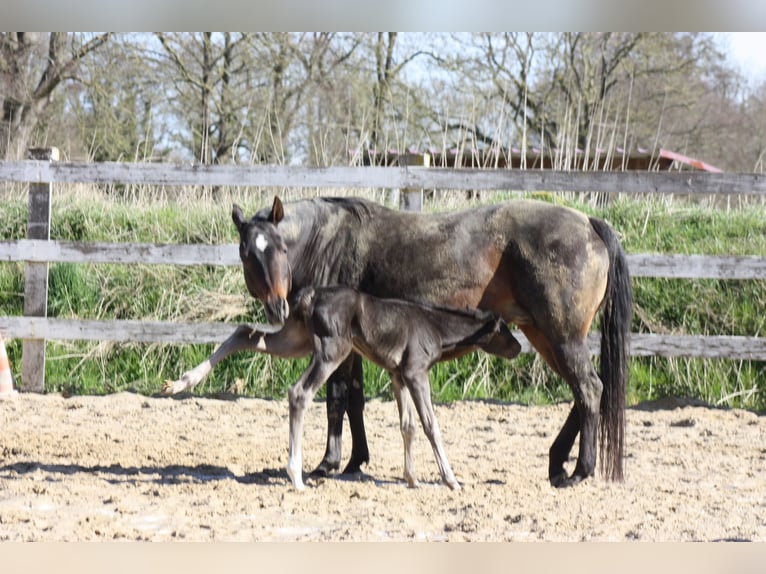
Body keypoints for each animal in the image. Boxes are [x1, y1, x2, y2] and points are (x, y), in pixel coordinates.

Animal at [265, 284, 522, 490]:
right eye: (503, 329)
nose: (518, 347)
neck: (435, 328)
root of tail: (311, 296)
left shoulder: (398, 376)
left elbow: (408, 426)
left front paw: (412, 478)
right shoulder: (416, 373)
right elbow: (431, 425)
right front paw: (451, 480)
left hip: (300, 342)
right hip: (332, 351)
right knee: (300, 393)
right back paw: (296, 476)